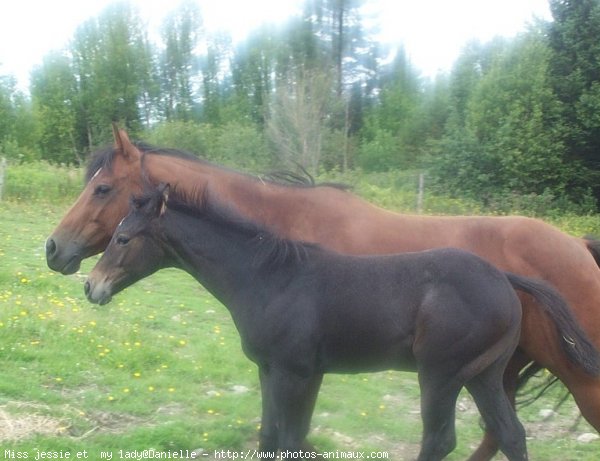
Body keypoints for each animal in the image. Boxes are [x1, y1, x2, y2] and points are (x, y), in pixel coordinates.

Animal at [47, 126, 600, 460]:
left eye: (102, 191)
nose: (57, 253)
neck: (272, 266)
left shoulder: (297, 371)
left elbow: (292, 438)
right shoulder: (281, 370)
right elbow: (274, 436)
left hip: (448, 375)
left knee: (444, 439)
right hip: (487, 373)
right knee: (505, 434)